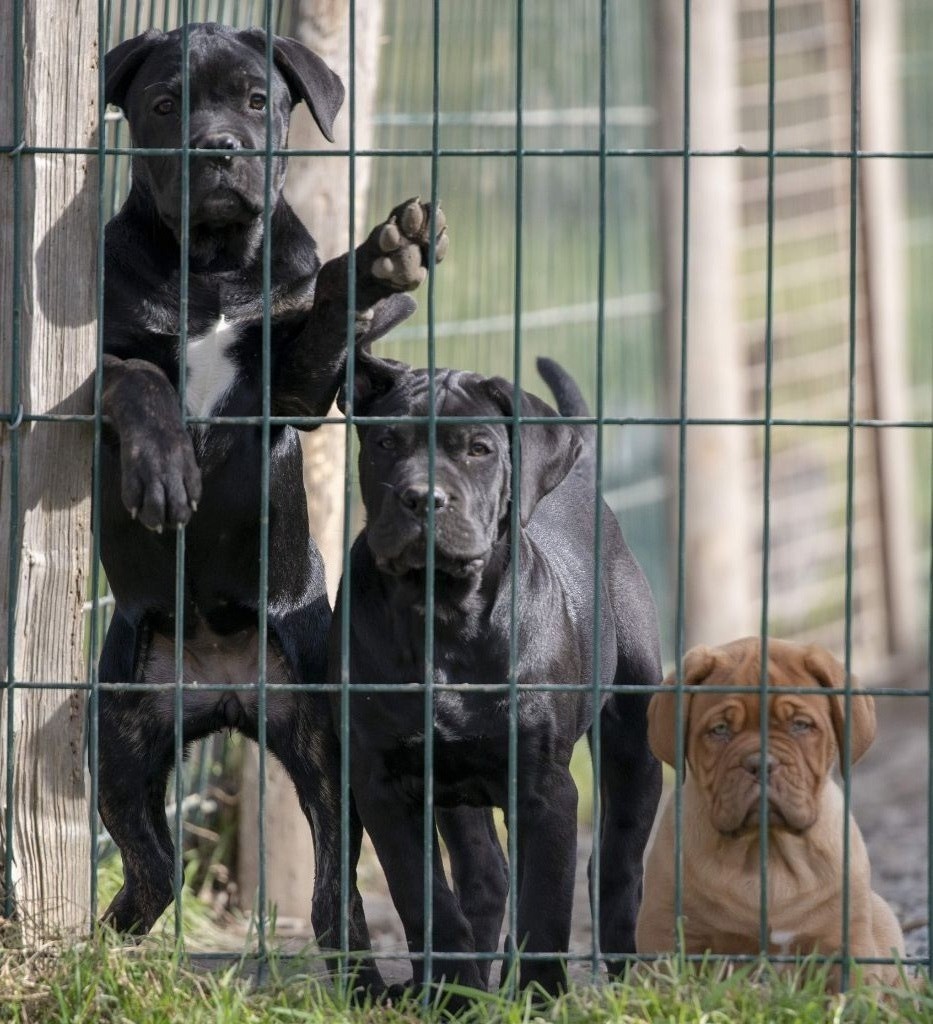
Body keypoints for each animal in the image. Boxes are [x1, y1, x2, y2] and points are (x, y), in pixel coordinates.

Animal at [96, 22, 446, 983]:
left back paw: (365, 980)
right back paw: (107, 942)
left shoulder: (292, 391)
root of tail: (222, 691)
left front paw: (379, 264)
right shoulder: (102, 359)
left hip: (324, 738)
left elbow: (321, 317)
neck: (214, 263)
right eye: (165, 103)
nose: (219, 149)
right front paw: (164, 472)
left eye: (258, 100)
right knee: (152, 862)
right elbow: (141, 379)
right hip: (121, 734)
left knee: (335, 890)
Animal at [327, 354, 663, 999]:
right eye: (386, 442)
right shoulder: (384, 784)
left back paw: (626, 978)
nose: (421, 499)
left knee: (618, 864)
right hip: (457, 785)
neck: (442, 613)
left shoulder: (546, 789)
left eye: (479, 449)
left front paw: (538, 997)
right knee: (486, 877)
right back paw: (463, 986)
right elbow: (426, 900)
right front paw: (452, 994)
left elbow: (545, 909)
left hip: (634, 741)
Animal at [634, 638, 905, 983]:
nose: (760, 763)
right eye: (719, 729)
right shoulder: (669, 937)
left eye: (800, 725)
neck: (766, 850)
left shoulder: (844, 941)